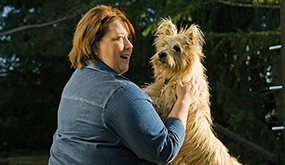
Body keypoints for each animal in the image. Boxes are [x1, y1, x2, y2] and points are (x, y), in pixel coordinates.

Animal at [141, 18, 240, 164]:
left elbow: (158, 101)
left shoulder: (169, 105)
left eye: (176, 48)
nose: (161, 54)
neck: (173, 77)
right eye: (163, 45)